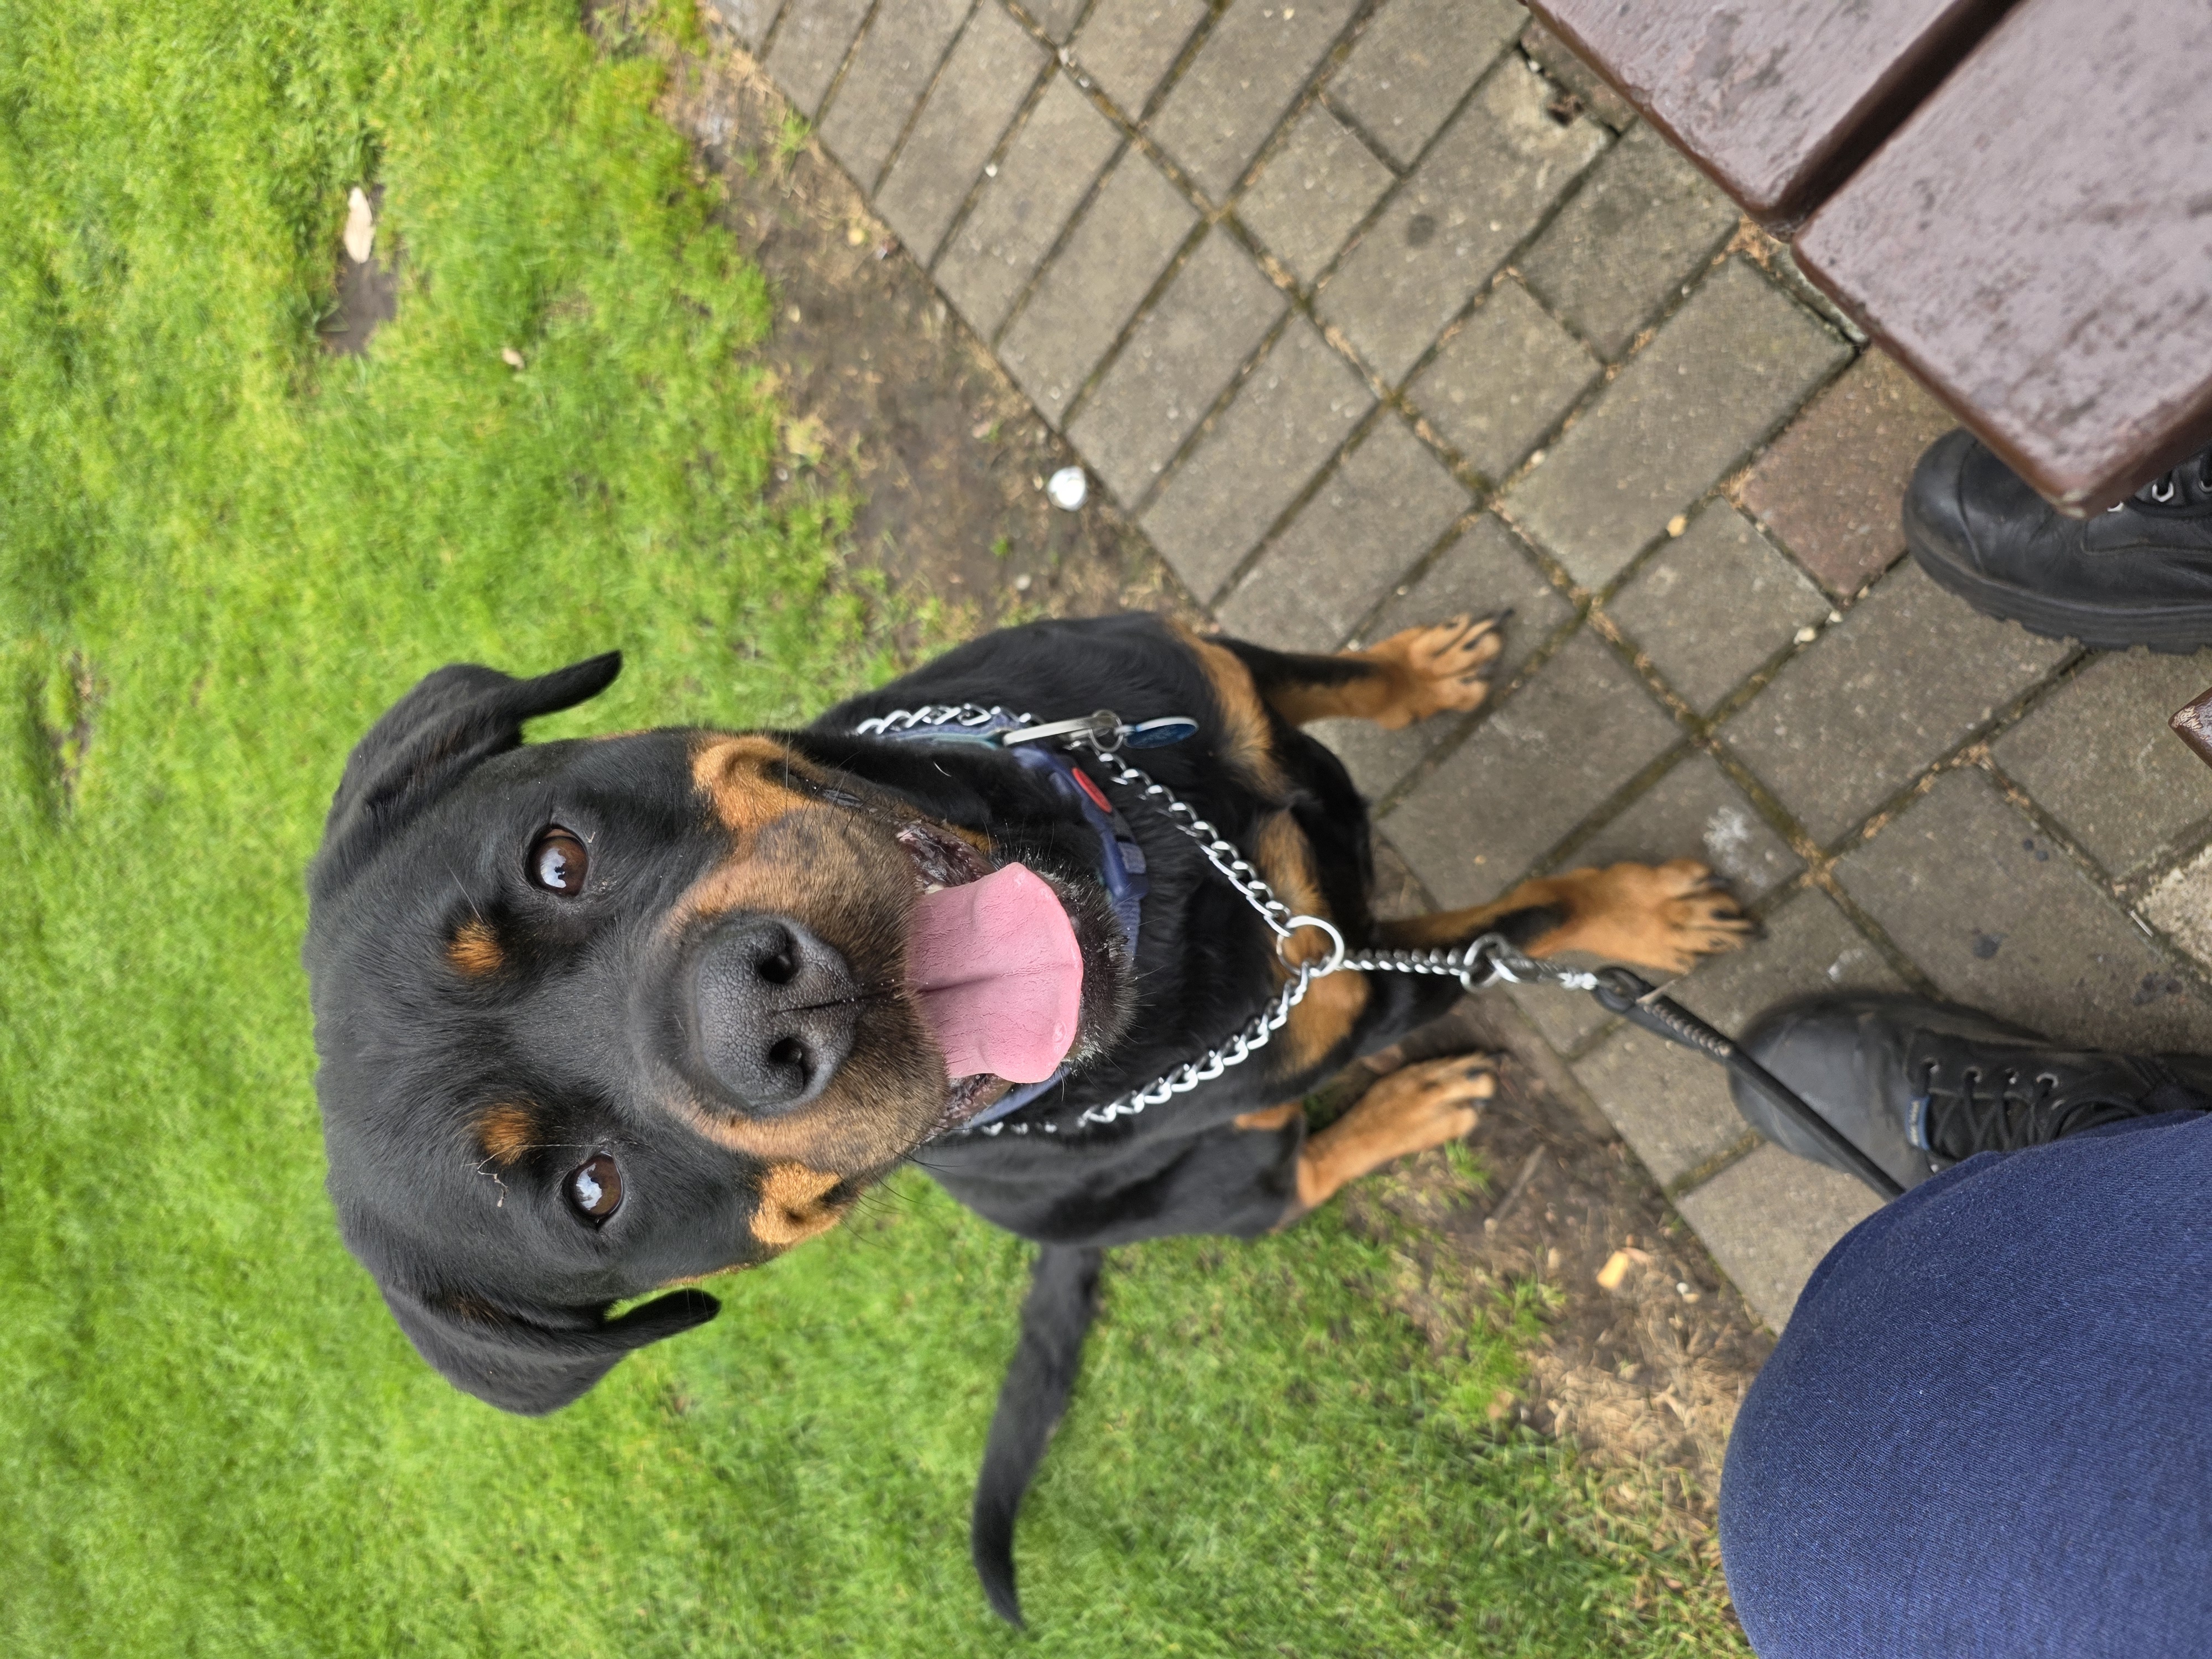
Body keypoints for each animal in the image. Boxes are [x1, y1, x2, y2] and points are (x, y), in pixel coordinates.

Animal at [303, 611, 1748, 1622]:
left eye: (558, 857)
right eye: (592, 1194)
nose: (766, 1016)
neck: (1141, 872)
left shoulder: (1202, 672)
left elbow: (1318, 673)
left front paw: (1420, 673)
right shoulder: (1345, 981)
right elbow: (1512, 926)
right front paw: (1640, 913)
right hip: (1223, 1172)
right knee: (1289, 1175)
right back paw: (1409, 1108)